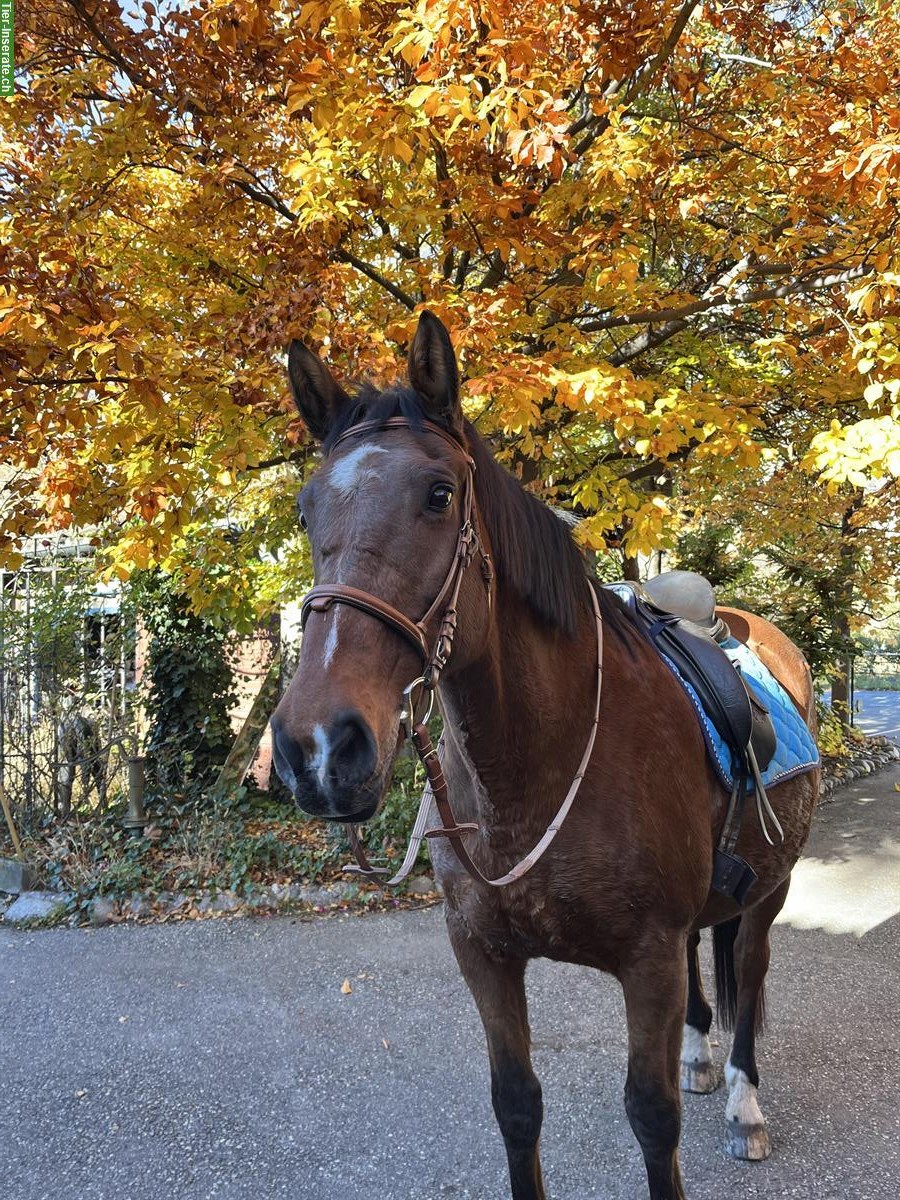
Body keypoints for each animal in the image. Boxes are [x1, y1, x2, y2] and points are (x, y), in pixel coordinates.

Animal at [271, 311, 819, 1200]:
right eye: (306, 509)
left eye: (439, 494)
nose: (318, 745)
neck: (533, 770)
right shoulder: (484, 955)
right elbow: (517, 1106)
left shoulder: (647, 962)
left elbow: (652, 1120)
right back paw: (701, 1052)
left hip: (771, 889)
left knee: (753, 963)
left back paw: (743, 1101)